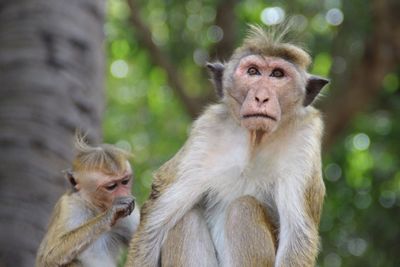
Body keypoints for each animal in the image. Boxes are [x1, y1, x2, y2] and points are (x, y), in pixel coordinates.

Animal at [36, 138, 139, 267]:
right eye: (111, 186)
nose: (125, 194)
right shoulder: (70, 206)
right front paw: (111, 213)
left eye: (125, 181)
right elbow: (48, 258)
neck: (95, 208)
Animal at [127, 25, 328, 267]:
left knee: (243, 208)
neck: (255, 140)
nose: (261, 97)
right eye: (253, 71)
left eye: (277, 74)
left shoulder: (304, 139)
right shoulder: (205, 133)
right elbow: (155, 219)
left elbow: (297, 235)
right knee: (186, 219)